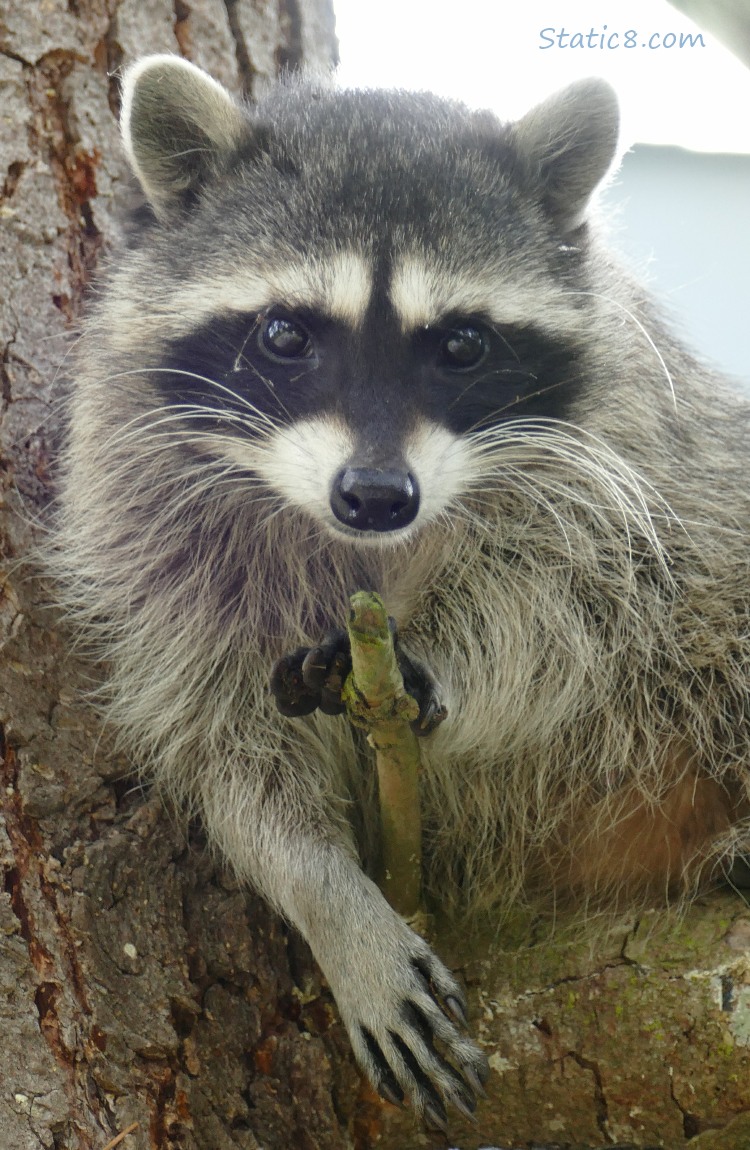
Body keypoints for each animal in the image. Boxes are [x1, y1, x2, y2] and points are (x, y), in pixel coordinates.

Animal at [53, 55, 750, 1127]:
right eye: (285, 334)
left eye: (460, 344)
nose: (377, 495)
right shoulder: (149, 527)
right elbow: (223, 742)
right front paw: (328, 897)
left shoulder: (644, 467)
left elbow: (583, 606)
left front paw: (447, 661)